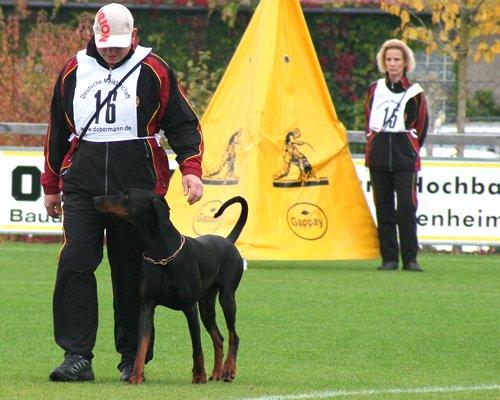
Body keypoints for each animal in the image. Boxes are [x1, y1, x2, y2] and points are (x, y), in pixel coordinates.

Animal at [92, 189, 248, 386]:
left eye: (126, 196)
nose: (95, 198)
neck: (160, 251)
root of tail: (228, 241)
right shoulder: (147, 307)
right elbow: (141, 346)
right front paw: (136, 376)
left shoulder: (190, 308)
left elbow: (196, 345)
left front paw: (199, 376)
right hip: (206, 306)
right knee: (219, 338)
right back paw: (217, 373)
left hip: (227, 298)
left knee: (233, 335)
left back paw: (228, 370)